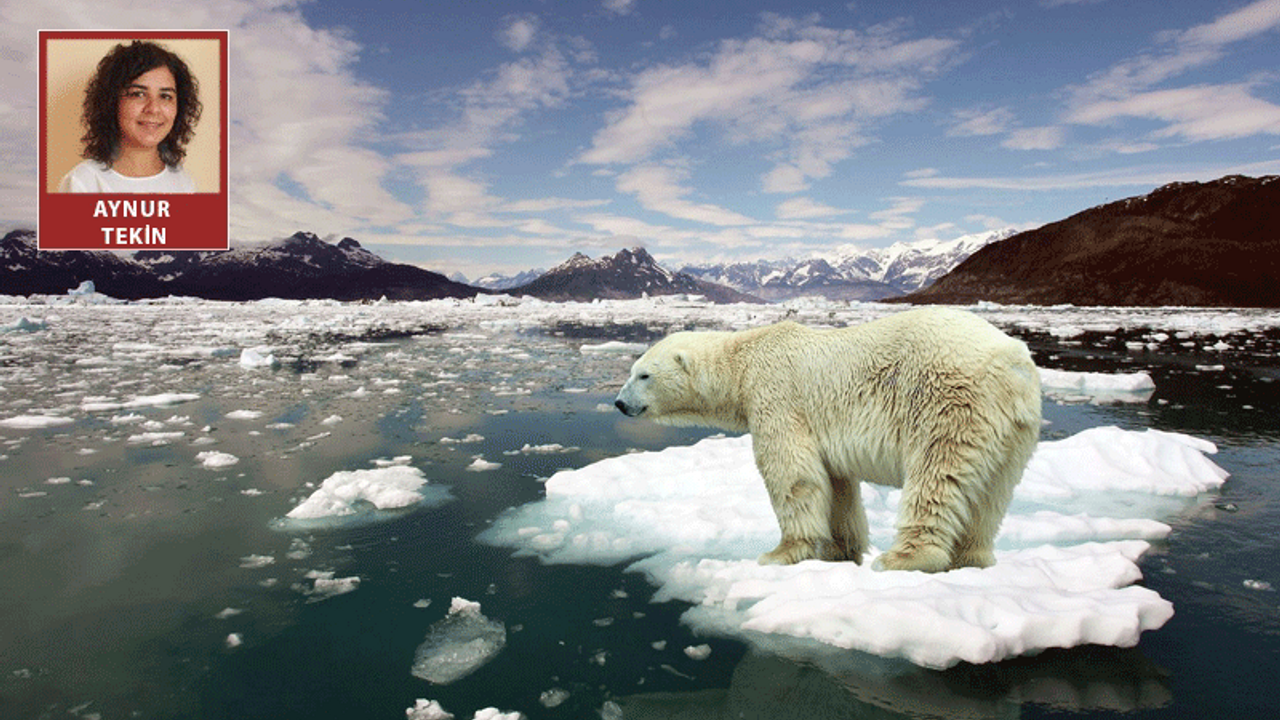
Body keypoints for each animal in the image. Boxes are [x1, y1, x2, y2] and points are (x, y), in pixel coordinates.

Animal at [614, 304, 1044, 568]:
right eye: (633, 370)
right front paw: (841, 550)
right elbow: (836, 485)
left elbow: (792, 474)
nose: (619, 403)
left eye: (643, 375)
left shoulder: (777, 396)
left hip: (948, 401)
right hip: (1014, 429)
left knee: (937, 475)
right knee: (992, 493)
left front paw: (781, 552)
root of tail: (1012, 362)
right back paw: (971, 558)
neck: (744, 360)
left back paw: (903, 559)